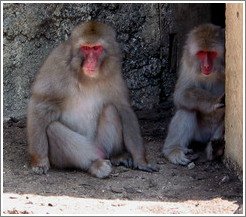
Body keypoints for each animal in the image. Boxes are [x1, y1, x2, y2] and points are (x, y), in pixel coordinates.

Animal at [26, 20, 159, 178]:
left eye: (96, 48)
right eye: (85, 48)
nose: (90, 61)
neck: (87, 77)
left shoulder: (114, 74)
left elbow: (123, 109)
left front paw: (140, 159)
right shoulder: (57, 66)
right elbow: (40, 104)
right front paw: (39, 161)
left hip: (100, 144)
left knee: (111, 110)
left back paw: (115, 155)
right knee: (53, 128)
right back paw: (95, 165)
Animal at [162, 23, 226, 165]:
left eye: (211, 53)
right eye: (201, 52)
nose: (206, 66)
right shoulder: (187, 62)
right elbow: (181, 93)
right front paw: (213, 102)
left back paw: (215, 149)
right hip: (200, 134)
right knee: (187, 109)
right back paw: (173, 149)